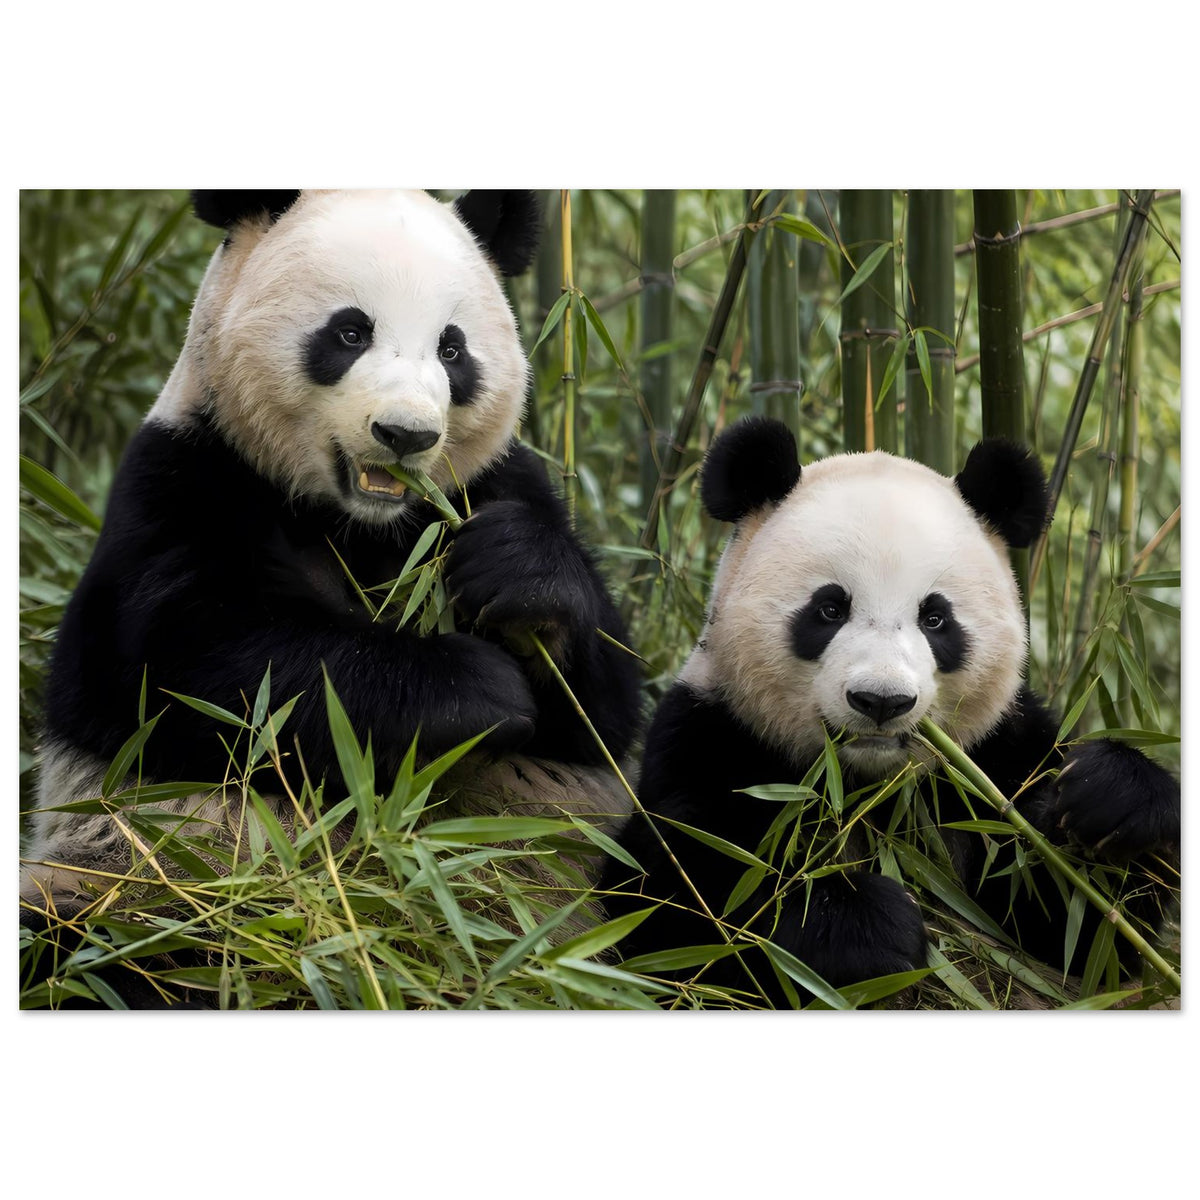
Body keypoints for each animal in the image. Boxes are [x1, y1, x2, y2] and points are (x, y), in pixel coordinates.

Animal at [21, 190, 642, 998]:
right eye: (350, 332)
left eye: (452, 349)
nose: (405, 435)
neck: (360, 523)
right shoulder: (181, 482)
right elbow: (198, 673)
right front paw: (478, 689)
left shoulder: (493, 484)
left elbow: (604, 713)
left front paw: (518, 575)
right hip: (137, 886)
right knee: (90, 947)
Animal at [602, 416, 1180, 1008]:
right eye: (830, 609)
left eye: (935, 618)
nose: (882, 701)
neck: (868, 788)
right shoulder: (713, 734)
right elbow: (682, 894)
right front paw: (867, 927)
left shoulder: (994, 757)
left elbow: (1080, 931)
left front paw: (1110, 801)